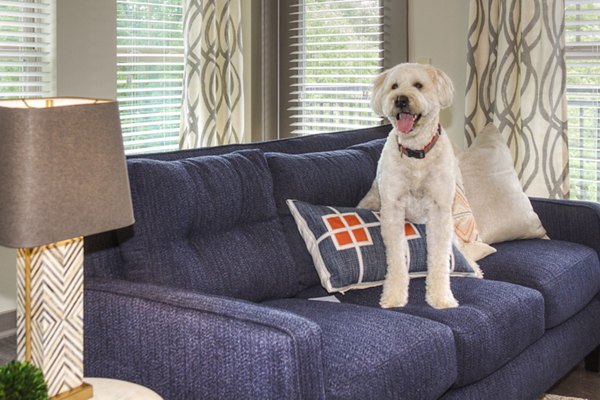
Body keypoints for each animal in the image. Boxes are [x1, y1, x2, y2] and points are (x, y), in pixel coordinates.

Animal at [356, 62, 460, 308]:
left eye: (418, 85)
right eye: (394, 86)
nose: (400, 99)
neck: (416, 153)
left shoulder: (440, 211)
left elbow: (439, 260)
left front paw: (441, 297)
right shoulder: (393, 209)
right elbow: (396, 259)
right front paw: (394, 296)